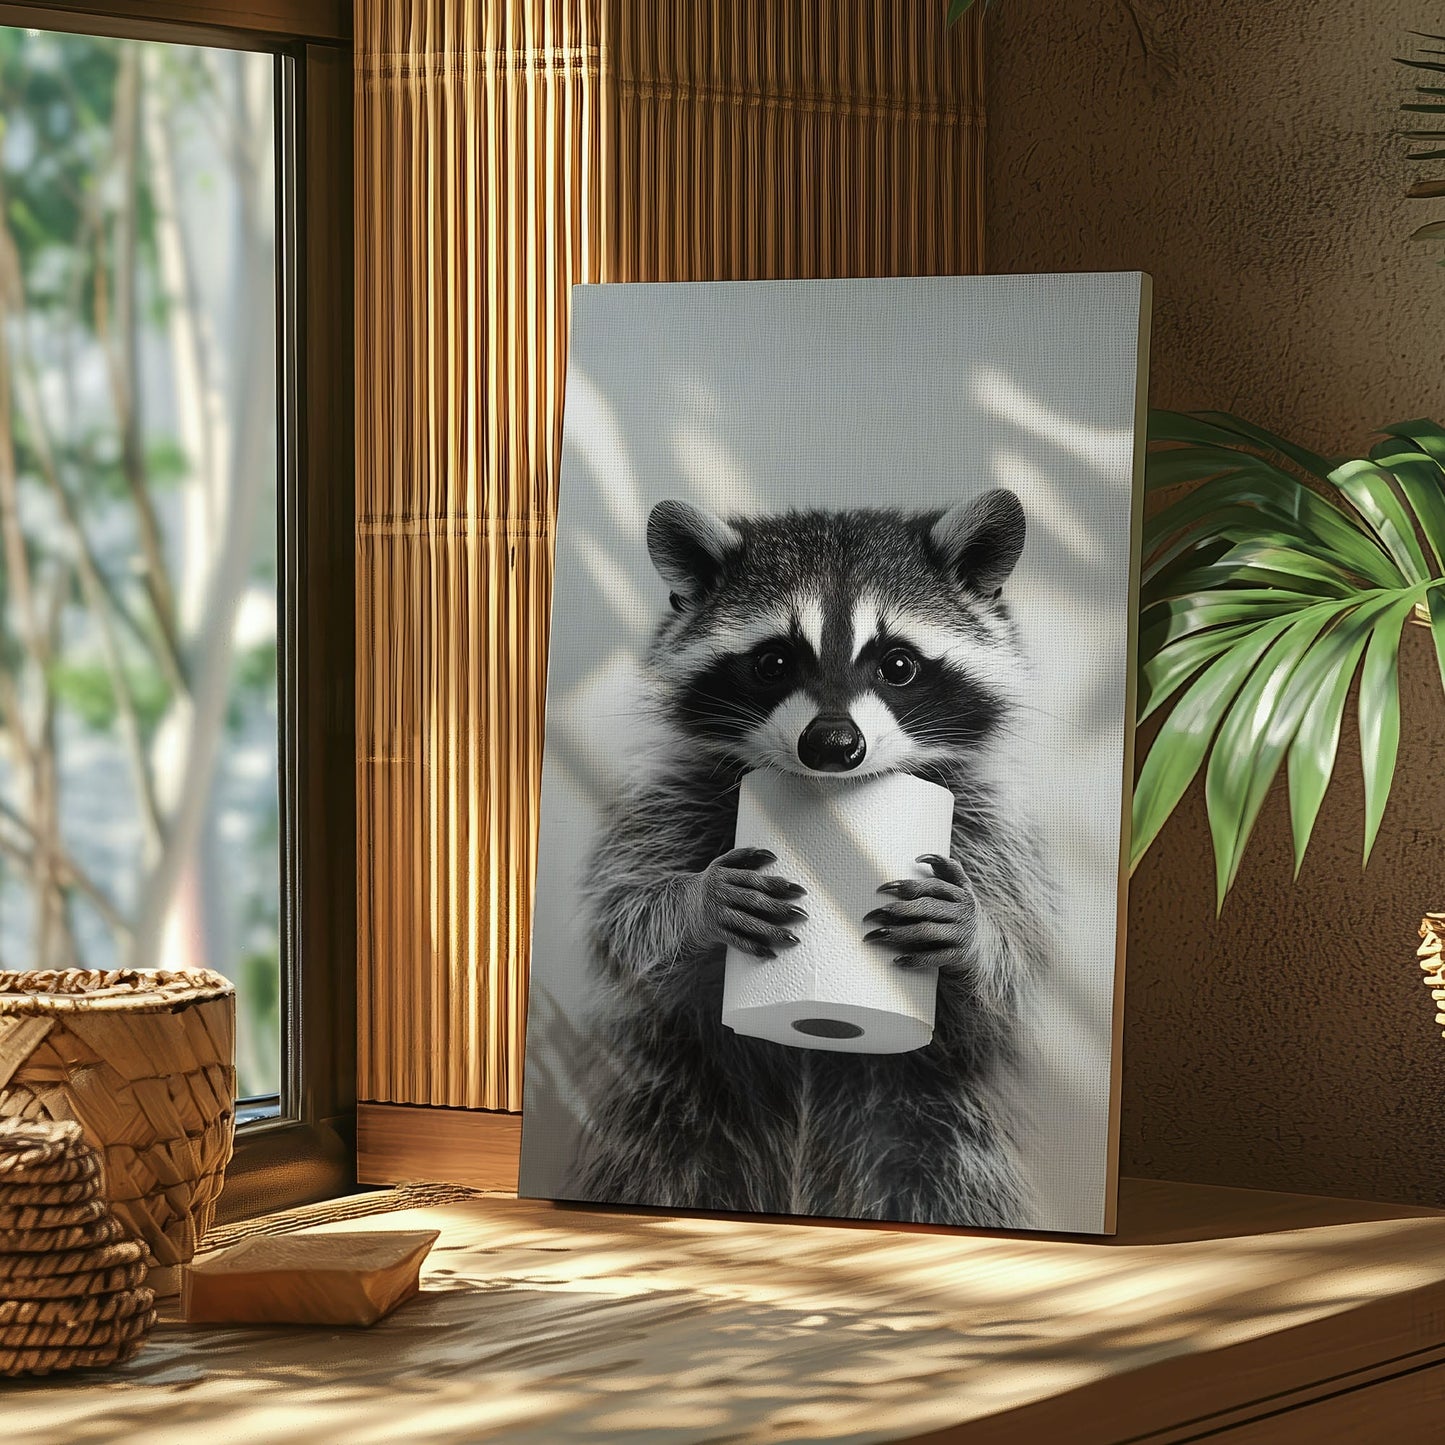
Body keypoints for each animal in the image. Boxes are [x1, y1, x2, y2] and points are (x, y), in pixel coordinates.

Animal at [568, 490, 1052, 1228]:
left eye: (898, 665)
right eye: (773, 663)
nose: (832, 744)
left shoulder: (985, 825)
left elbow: (1015, 979)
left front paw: (973, 936)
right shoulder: (672, 796)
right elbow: (622, 921)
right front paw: (695, 903)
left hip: (933, 1129)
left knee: (955, 1180)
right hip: (676, 1108)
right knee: (658, 1163)